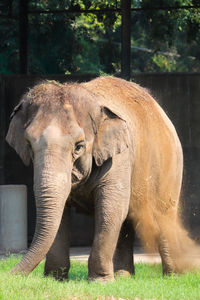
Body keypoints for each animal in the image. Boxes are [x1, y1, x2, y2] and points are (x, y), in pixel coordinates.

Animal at [5, 75, 199, 282]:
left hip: (170, 165)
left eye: (79, 146)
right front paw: (54, 280)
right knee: (127, 221)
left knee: (163, 214)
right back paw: (124, 277)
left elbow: (110, 208)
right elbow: (62, 214)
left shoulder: (119, 158)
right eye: (28, 145)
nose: (9, 276)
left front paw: (100, 282)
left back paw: (173, 276)